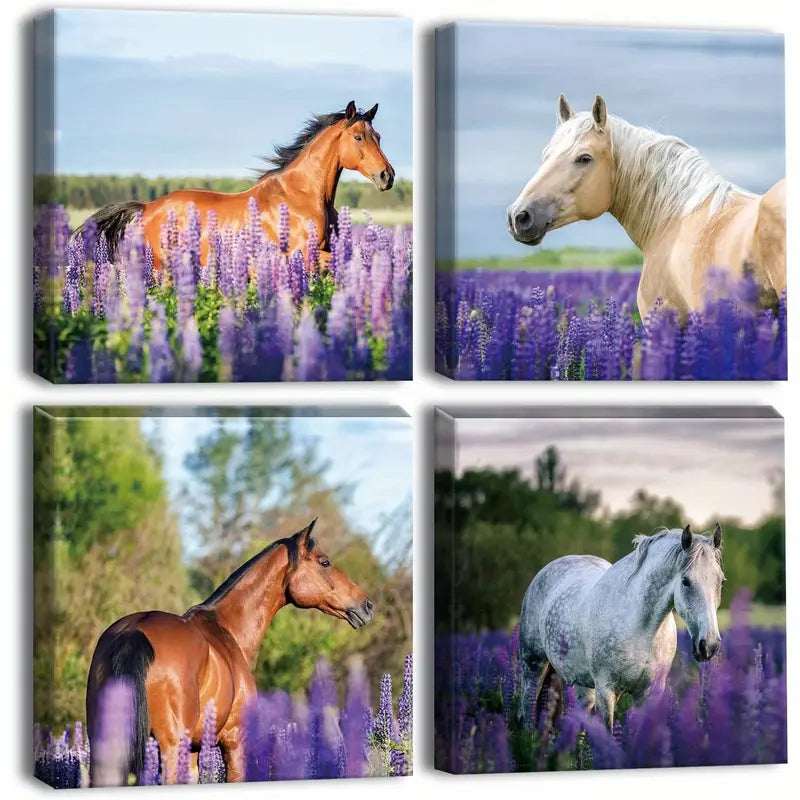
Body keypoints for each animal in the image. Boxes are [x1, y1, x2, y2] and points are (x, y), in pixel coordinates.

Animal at [78, 100, 395, 270]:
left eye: (378, 136)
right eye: (358, 137)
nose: (387, 176)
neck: (301, 195)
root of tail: (147, 207)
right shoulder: (305, 255)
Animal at [85, 519, 374, 786]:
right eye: (325, 562)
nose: (367, 605)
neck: (226, 629)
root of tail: (133, 632)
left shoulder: (195, 752)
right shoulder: (234, 741)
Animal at [518, 524, 724, 729]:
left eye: (721, 581)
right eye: (685, 581)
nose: (709, 645)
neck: (643, 630)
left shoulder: (648, 693)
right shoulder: (606, 690)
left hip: (583, 686)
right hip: (533, 665)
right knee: (527, 711)